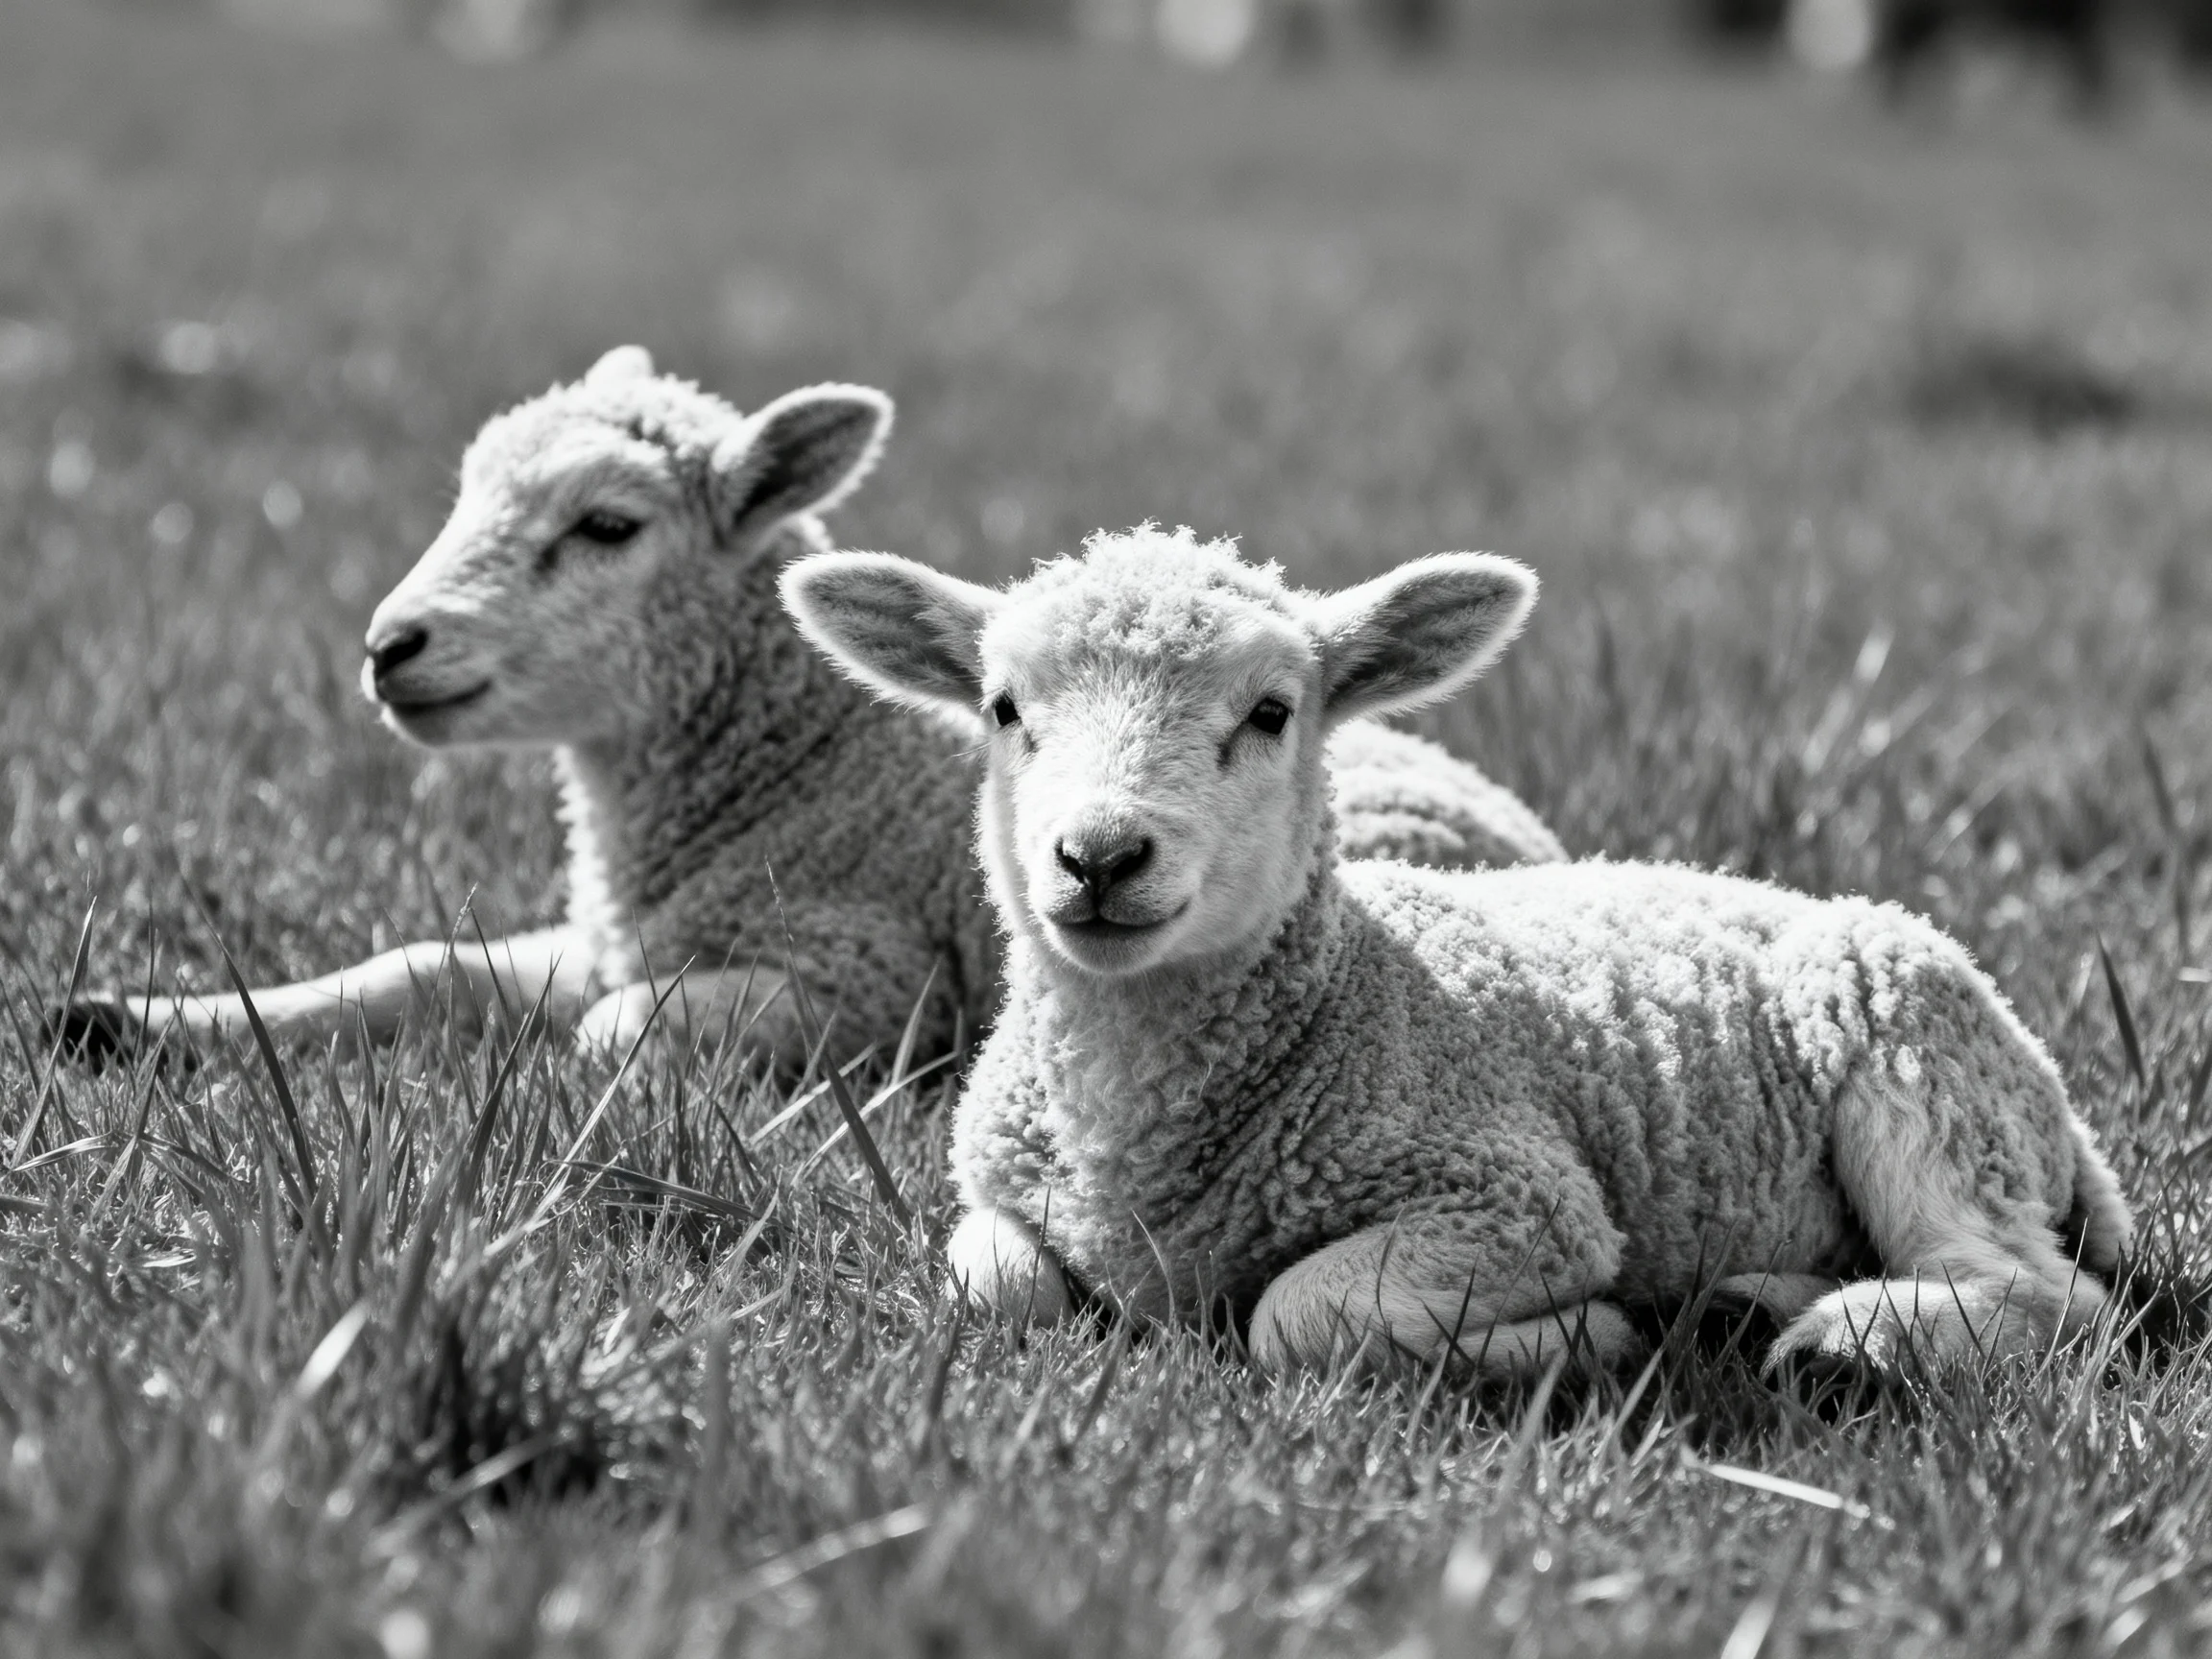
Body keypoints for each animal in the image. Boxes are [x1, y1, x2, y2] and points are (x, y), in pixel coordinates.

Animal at [57, 352, 1561, 1075]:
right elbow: (419, 965)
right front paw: (136, 1020)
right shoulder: (607, 939)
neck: (800, 765)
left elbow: (611, 1035)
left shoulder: (872, 977)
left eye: (607, 527)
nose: (390, 648)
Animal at [781, 525, 2134, 1379]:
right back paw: (1754, 1305)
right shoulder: (996, 1190)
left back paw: (1851, 1345)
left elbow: (1294, 1316)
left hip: (1922, 1072)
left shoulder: (1517, 1197)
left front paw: (1583, 1340)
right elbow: (996, 1290)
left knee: (2050, 1296)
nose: (1101, 857)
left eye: (1271, 712)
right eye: (1004, 708)